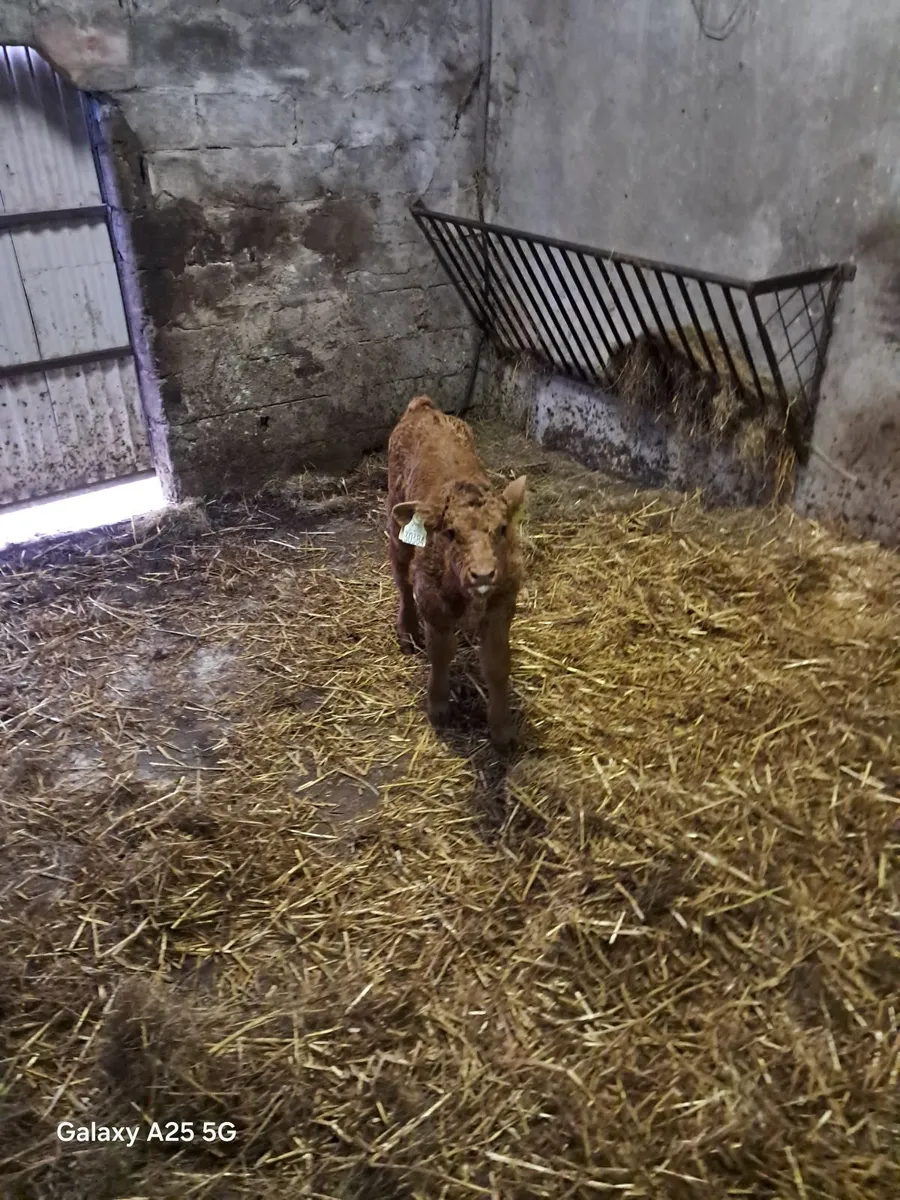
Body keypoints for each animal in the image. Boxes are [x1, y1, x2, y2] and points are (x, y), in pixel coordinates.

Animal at [387, 396, 527, 751]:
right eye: (450, 533)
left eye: (502, 529)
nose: (483, 575)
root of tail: (423, 407)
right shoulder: (432, 601)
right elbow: (440, 652)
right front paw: (438, 707)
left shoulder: (504, 601)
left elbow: (497, 664)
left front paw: (503, 730)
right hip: (396, 518)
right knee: (400, 572)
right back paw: (407, 630)